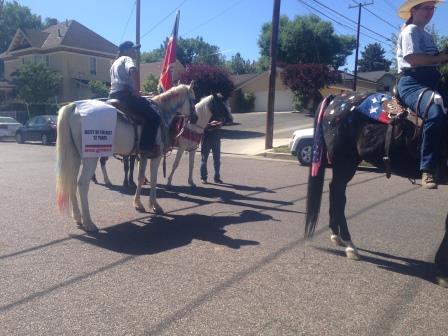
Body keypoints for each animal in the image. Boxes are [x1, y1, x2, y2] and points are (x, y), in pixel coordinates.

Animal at [55, 82, 195, 232]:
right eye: (193, 98)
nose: (195, 117)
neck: (162, 113)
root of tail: (74, 107)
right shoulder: (155, 157)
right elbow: (153, 179)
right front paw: (155, 205)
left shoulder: (143, 155)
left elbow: (140, 178)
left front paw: (138, 204)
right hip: (90, 158)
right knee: (82, 184)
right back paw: (88, 222)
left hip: (74, 157)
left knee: (72, 182)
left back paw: (77, 217)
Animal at [304, 90, 448, 288]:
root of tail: (337, 98)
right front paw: (442, 270)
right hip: (345, 162)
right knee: (339, 196)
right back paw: (350, 245)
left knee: (335, 192)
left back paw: (337, 235)